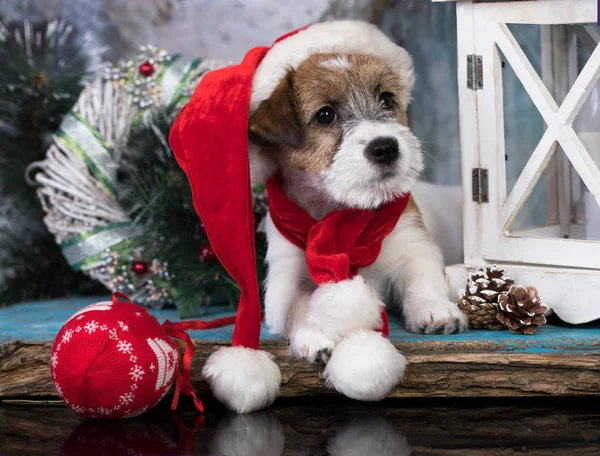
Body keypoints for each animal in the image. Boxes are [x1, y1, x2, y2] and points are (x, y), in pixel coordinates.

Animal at [248, 52, 468, 396]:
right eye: (325, 115)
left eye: (387, 98)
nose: (386, 147)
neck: (345, 217)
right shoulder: (284, 281)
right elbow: (299, 305)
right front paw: (314, 331)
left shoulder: (413, 243)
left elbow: (422, 279)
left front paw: (434, 308)